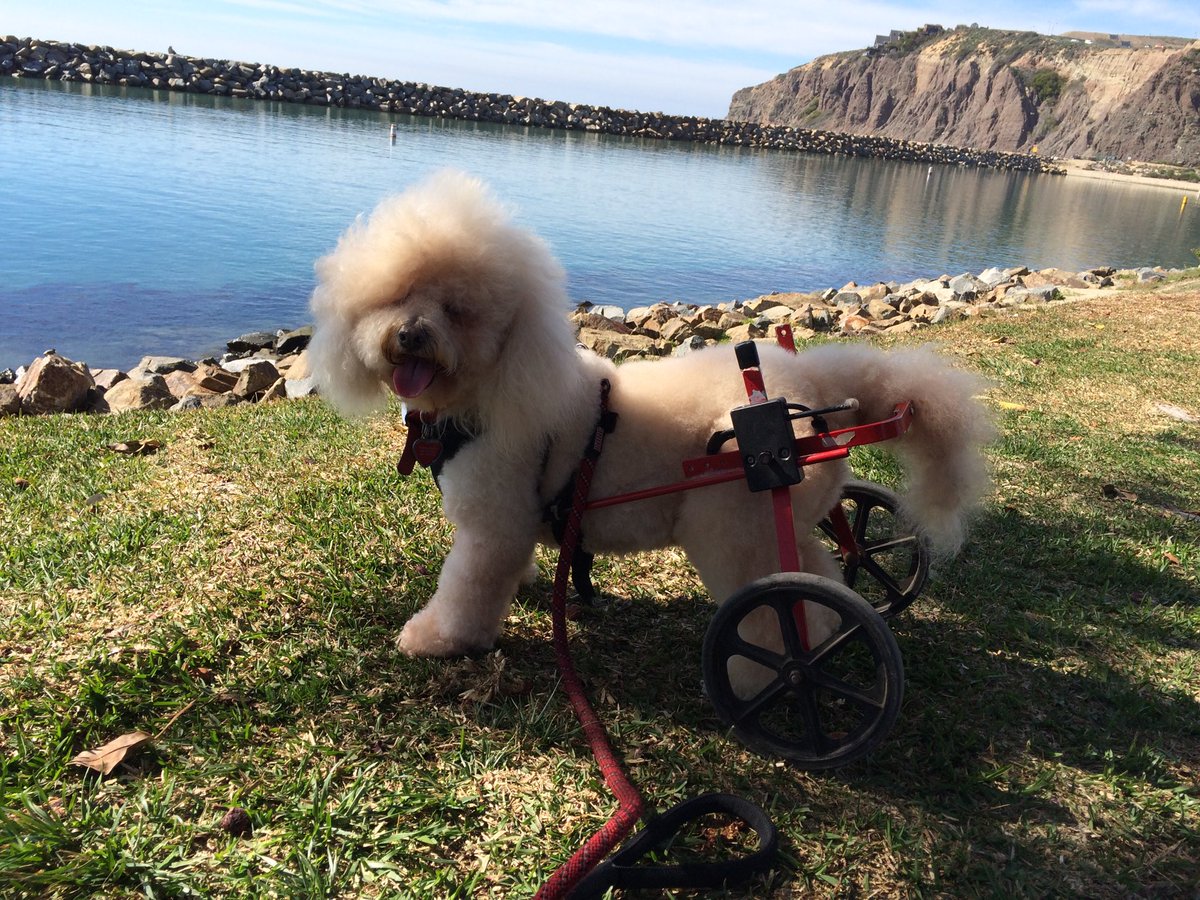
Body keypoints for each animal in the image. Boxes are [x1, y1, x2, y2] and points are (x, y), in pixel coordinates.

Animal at [309, 170, 993, 662]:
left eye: (458, 309)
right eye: (396, 296)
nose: (410, 335)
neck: (494, 388)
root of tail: (814, 383)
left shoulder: (492, 522)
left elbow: (468, 592)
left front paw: (438, 641)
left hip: (732, 525)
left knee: (779, 613)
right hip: (786, 521)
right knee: (823, 581)